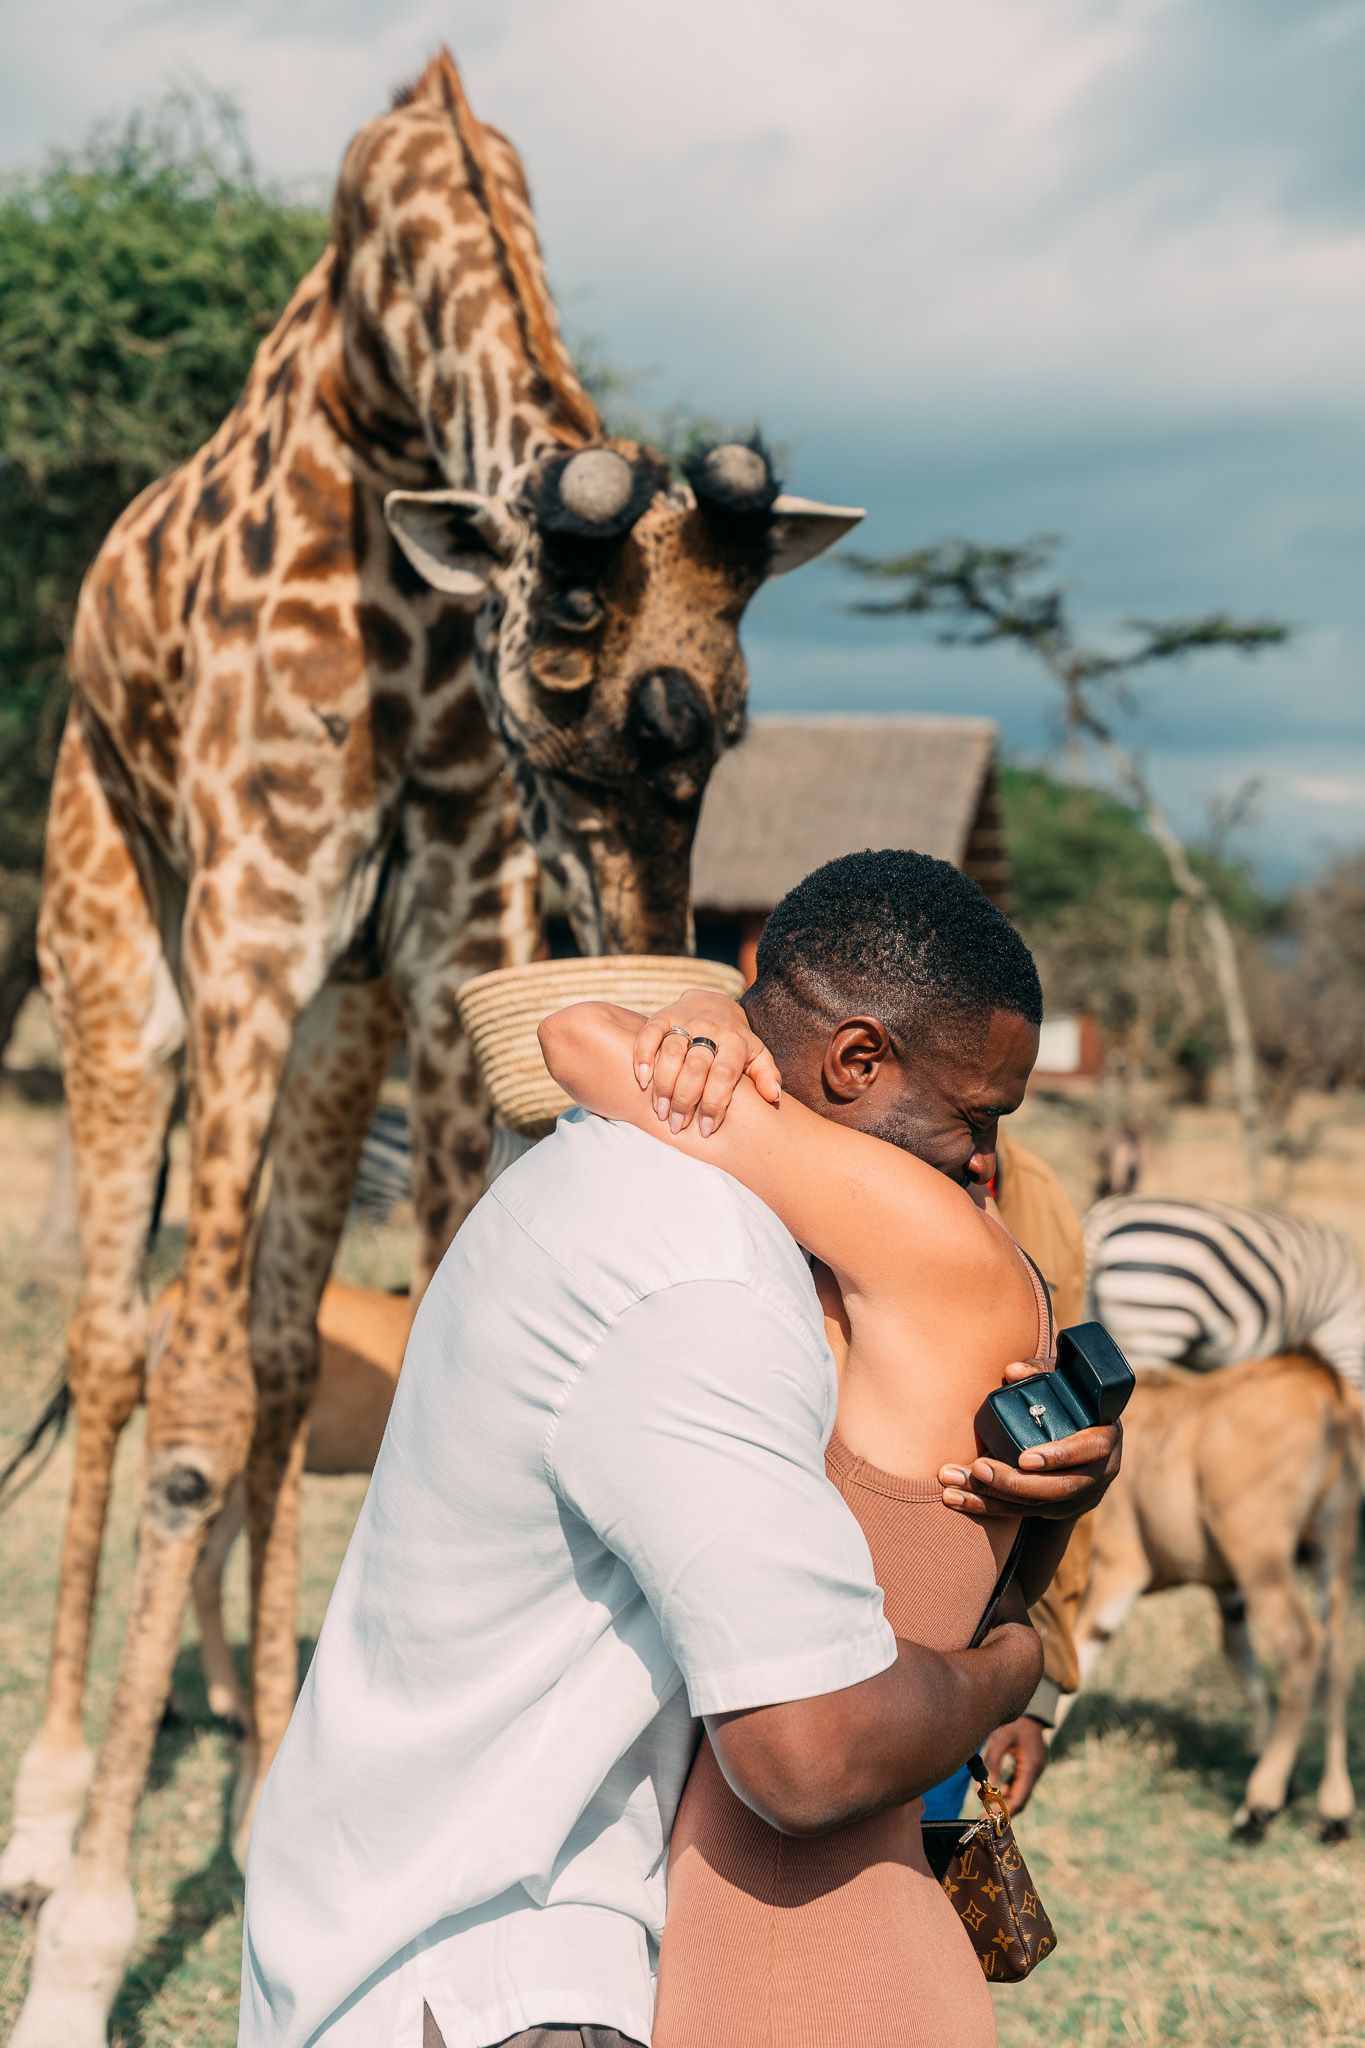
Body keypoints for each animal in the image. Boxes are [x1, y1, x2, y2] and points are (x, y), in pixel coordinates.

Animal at [0, 49, 861, 2048]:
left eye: (736, 710)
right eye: (554, 668)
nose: (647, 929)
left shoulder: (439, 934)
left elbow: (391, 1340)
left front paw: (302, 1839)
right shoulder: (254, 908)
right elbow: (189, 1409)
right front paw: (84, 1949)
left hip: (340, 1017)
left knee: (267, 1351)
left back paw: (248, 1765)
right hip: (120, 943)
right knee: (116, 1344)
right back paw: (48, 1814)